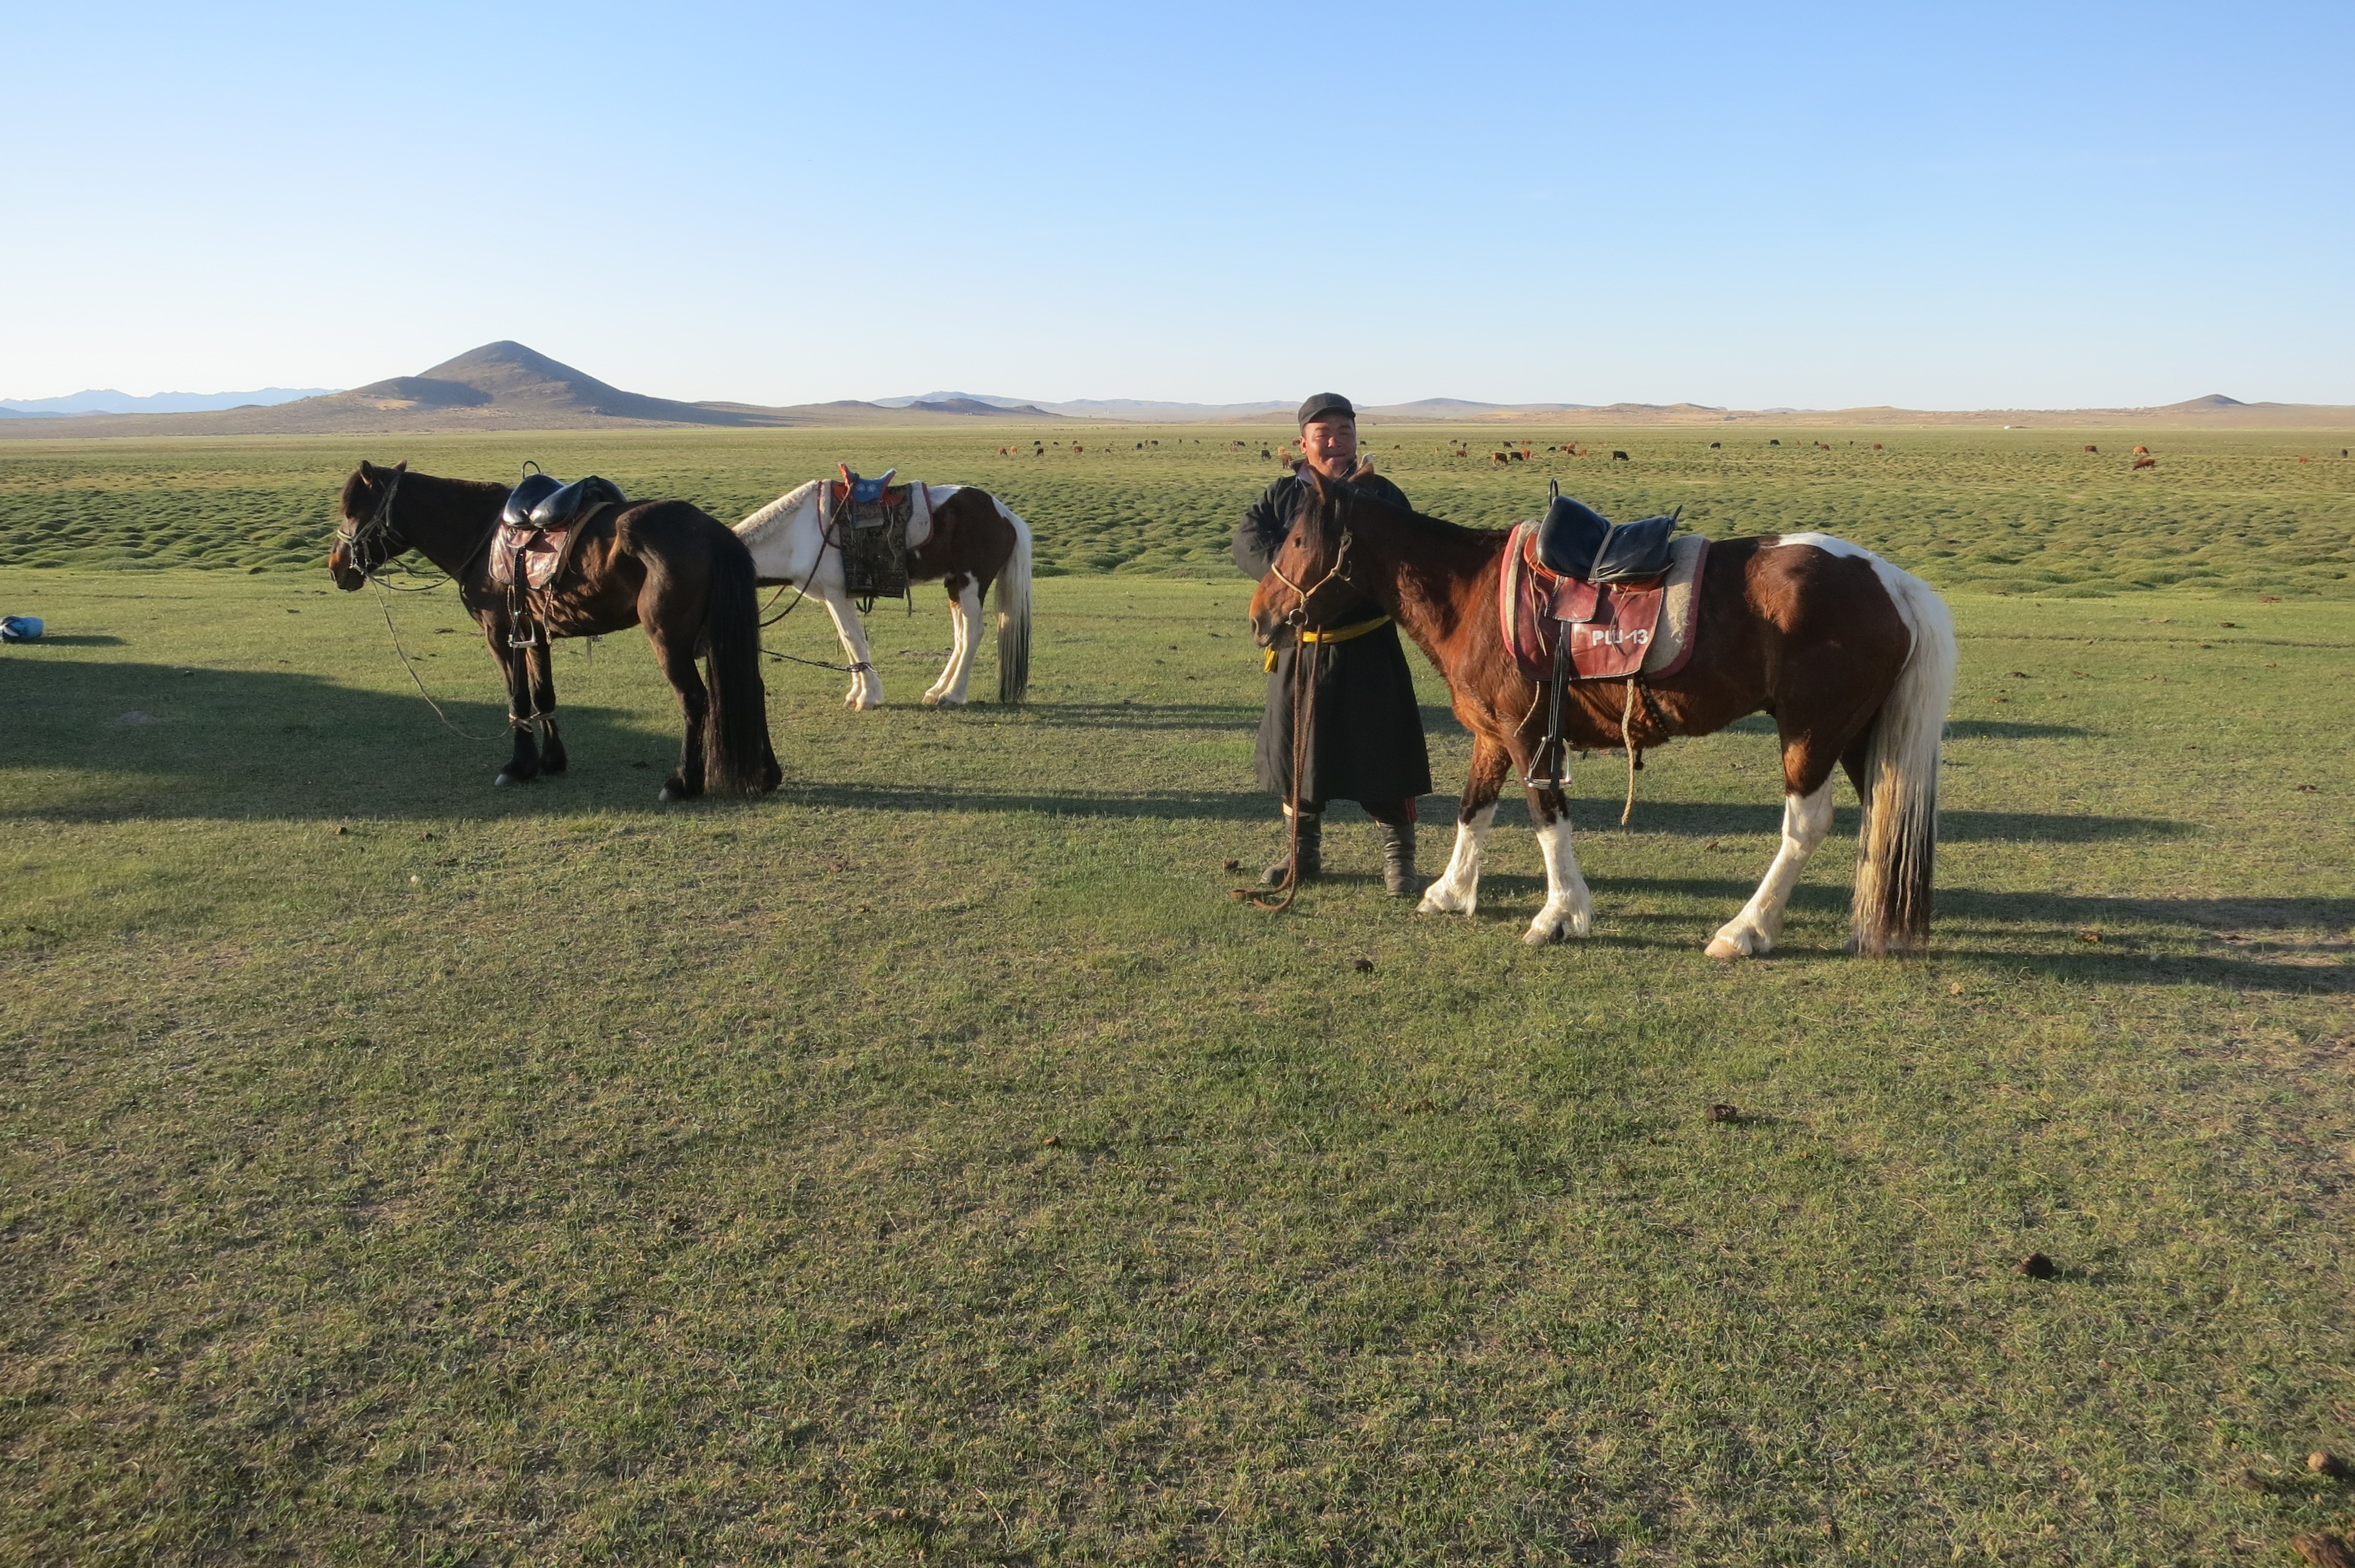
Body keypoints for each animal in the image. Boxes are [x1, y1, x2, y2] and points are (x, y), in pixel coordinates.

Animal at [329, 461, 780, 799]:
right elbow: (543, 693)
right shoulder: (535, 633)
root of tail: (710, 529)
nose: (336, 569)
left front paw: (519, 765)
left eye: (353, 511)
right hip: (716, 634)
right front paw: (552, 761)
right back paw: (765, 775)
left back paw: (683, 782)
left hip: (669, 639)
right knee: (750, 685)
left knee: (694, 699)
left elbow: (517, 696)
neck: (478, 533)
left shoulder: (499, 634)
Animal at [734, 479, 1033, 710]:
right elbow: (852, 642)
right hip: (955, 586)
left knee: (972, 633)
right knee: (960, 636)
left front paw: (867, 697)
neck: (798, 533)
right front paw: (858, 693)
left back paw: (951, 695)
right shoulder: (836, 598)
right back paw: (937, 691)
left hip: (972, 583)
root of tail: (1005, 515)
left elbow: (852, 640)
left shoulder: (836, 595)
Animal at [1249, 470, 1956, 957]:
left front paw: (1558, 915)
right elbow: (1473, 810)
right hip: (1857, 734)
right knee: (1883, 812)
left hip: (1811, 732)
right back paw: (1876, 927)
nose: (1260, 618)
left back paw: (1746, 929)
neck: (1470, 594)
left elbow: (1546, 818)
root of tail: (1890, 579)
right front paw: (1450, 892)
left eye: (1299, 538)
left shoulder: (1528, 733)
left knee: (1806, 826)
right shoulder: (1491, 735)